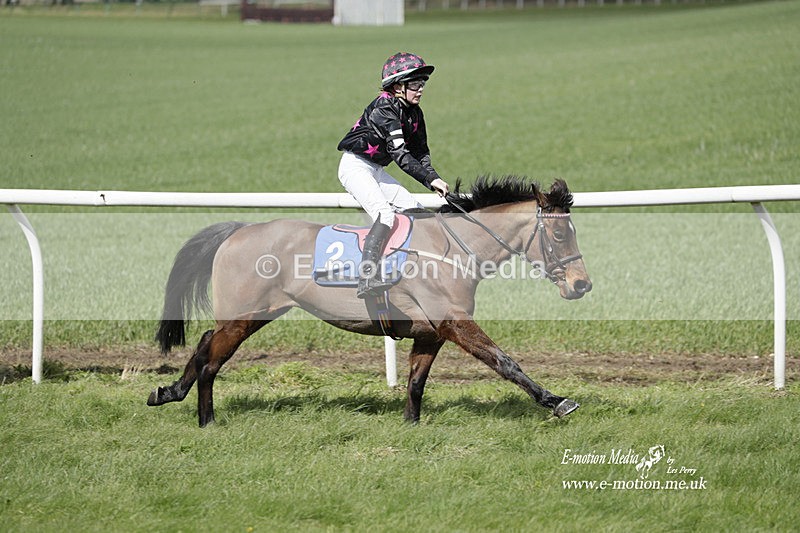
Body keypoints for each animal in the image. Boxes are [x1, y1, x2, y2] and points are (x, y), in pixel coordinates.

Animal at [148, 176, 592, 427]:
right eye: (558, 235)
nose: (581, 285)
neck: (453, 249)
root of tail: (238, 230)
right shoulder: (453, 322)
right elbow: (505, 362)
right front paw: (556, 401)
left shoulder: (430, 332)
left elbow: (416, 382)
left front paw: (411, 426)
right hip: (245, 315)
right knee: (211, 359)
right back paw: (204, 419)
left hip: (256, 314)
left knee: (205, 342)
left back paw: (171, 394)